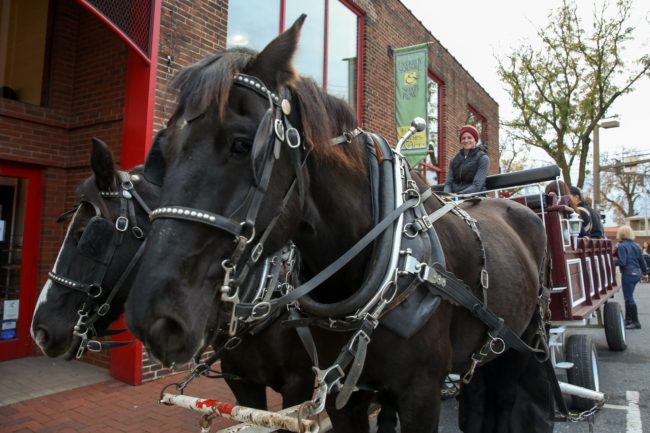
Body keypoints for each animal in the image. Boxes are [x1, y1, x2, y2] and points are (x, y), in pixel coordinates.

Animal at [123, 16, 548, 432]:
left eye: (242, 145)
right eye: (163, 152)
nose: (154, 317)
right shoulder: (336, 392)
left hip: (520, 343)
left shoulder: (418, 395)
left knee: (504, 398)